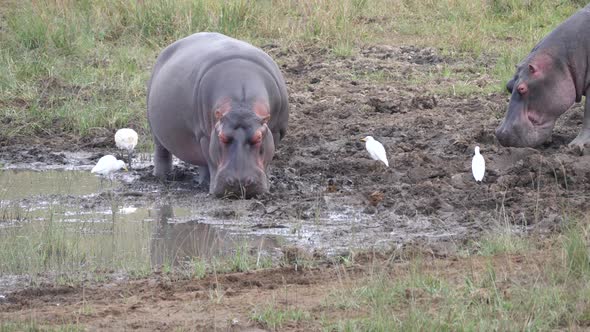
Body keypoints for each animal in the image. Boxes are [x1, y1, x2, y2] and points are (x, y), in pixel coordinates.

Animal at [147, 33, 288, 197]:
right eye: (221, 137)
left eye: (259, 137)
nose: (239, 183)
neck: (241, 105)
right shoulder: (205, 135)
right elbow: (211, 159)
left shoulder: (276, 131)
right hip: (157, 128)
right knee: (162, 151)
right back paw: (164, 177)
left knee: (202, 162)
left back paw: (202, 182)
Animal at [500, 3, 590, 148]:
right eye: (508, 86)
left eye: (522, 88)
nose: (501, 135)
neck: (561, 61)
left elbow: (588, 114)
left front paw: (576, 146)